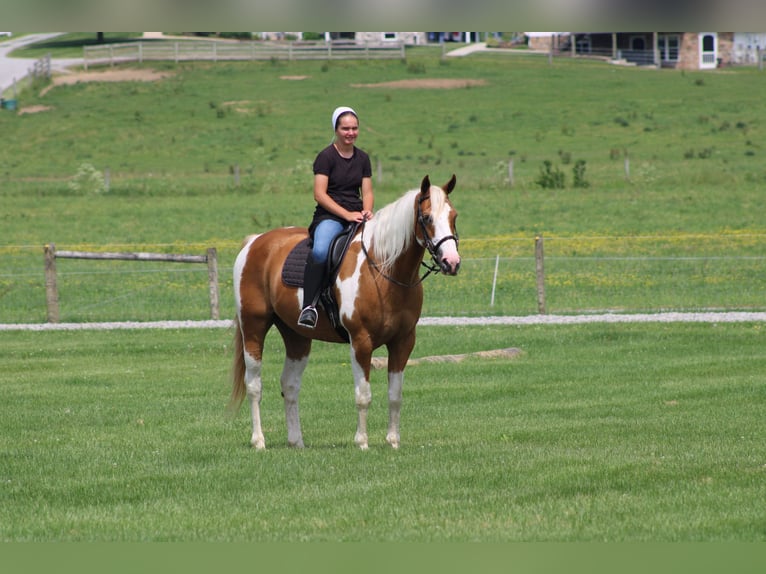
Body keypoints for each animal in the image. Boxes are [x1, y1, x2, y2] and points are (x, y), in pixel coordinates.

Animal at [229, 174, 460, 450]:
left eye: (454, 216)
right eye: (426, 218)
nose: (451, 262)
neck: (384, 271)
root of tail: (255, 242)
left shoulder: (403, 342)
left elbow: (395, 395)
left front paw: (393, 442)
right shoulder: (361, 342)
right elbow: (363, 395)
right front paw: (362, 442)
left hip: (297, 337)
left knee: (290, 385)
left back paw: (296, 441)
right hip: (253, 327)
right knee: (254, 385)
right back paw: (259, 441)